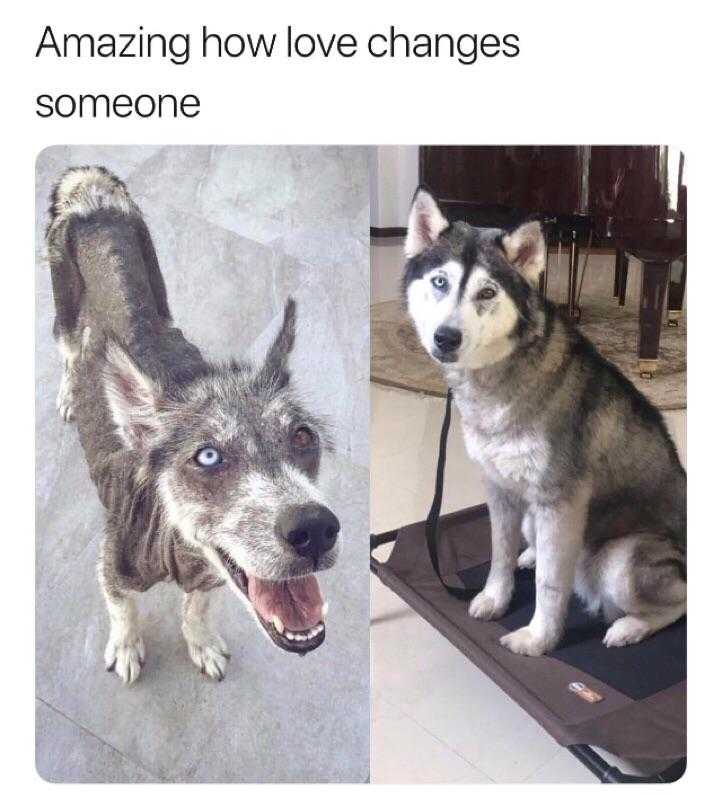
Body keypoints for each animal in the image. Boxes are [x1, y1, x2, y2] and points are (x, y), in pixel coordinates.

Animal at [46, 166, 338, 680]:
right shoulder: (112, 569)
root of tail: (93, 199)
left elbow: (196, 609)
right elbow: (123, 612)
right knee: (68, 349)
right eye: (207, 456)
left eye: (303, 436)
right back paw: (67, 393)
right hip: (62, 309)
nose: (316, 528)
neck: (175, 545)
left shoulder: (209, 578)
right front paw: (126, 646)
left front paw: (201, 643)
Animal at [402, 187, 684, 656]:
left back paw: (629, 627)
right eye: (440, 282)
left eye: (487, 292)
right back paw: (532, 555)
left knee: (678, 602)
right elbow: (499, 553)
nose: (446, 338)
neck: (502, 376)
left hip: (622, 562)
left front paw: (539, 638)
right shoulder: (498, 488)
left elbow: (551, 586)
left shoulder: (560, 503)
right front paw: (495, 598)